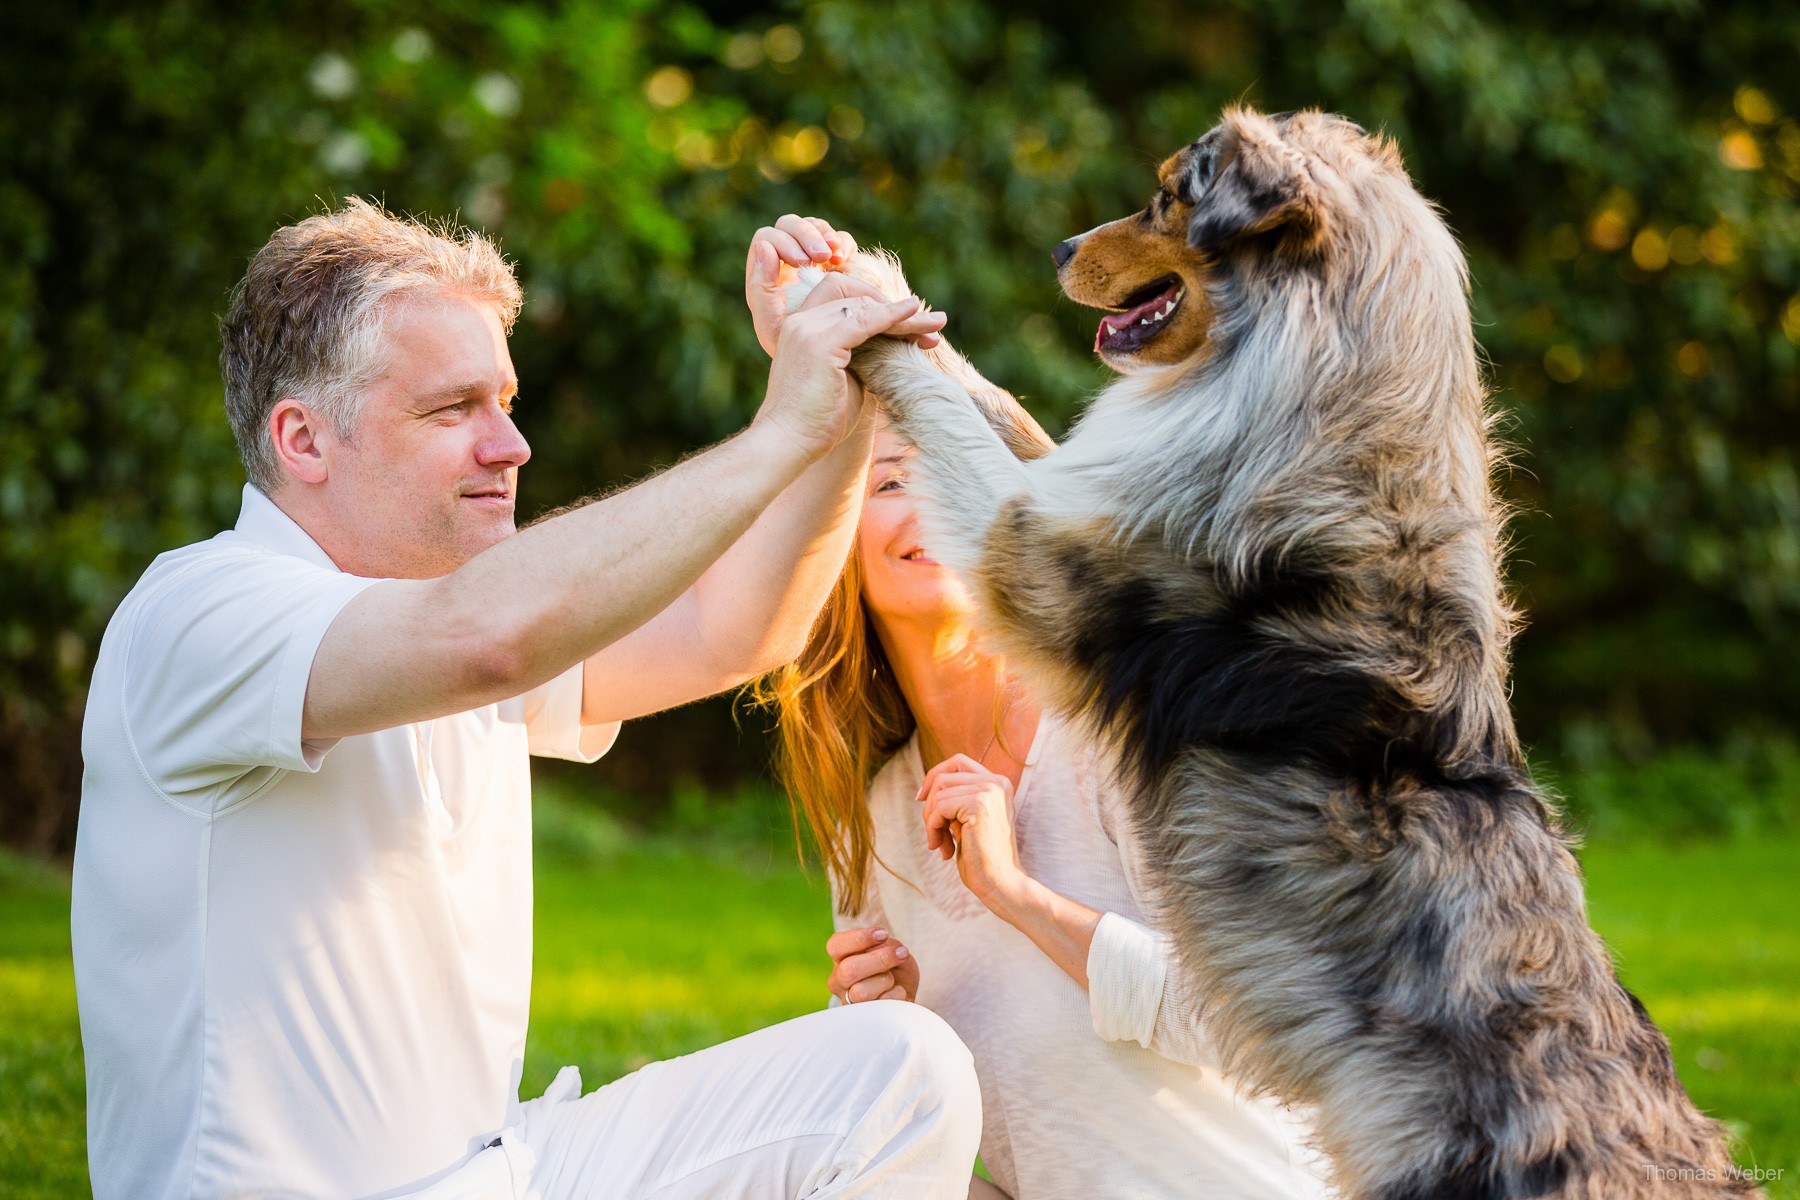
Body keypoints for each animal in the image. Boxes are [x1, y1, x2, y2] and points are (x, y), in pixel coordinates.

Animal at [820, 107, 1771, 1194]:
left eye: (1167, 197)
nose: (1059, 249)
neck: (1337, 417)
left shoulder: (1026, 552)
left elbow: (951, 421)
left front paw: (858, 300)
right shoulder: (1075, 485)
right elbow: (991, 406)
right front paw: (879, 289)